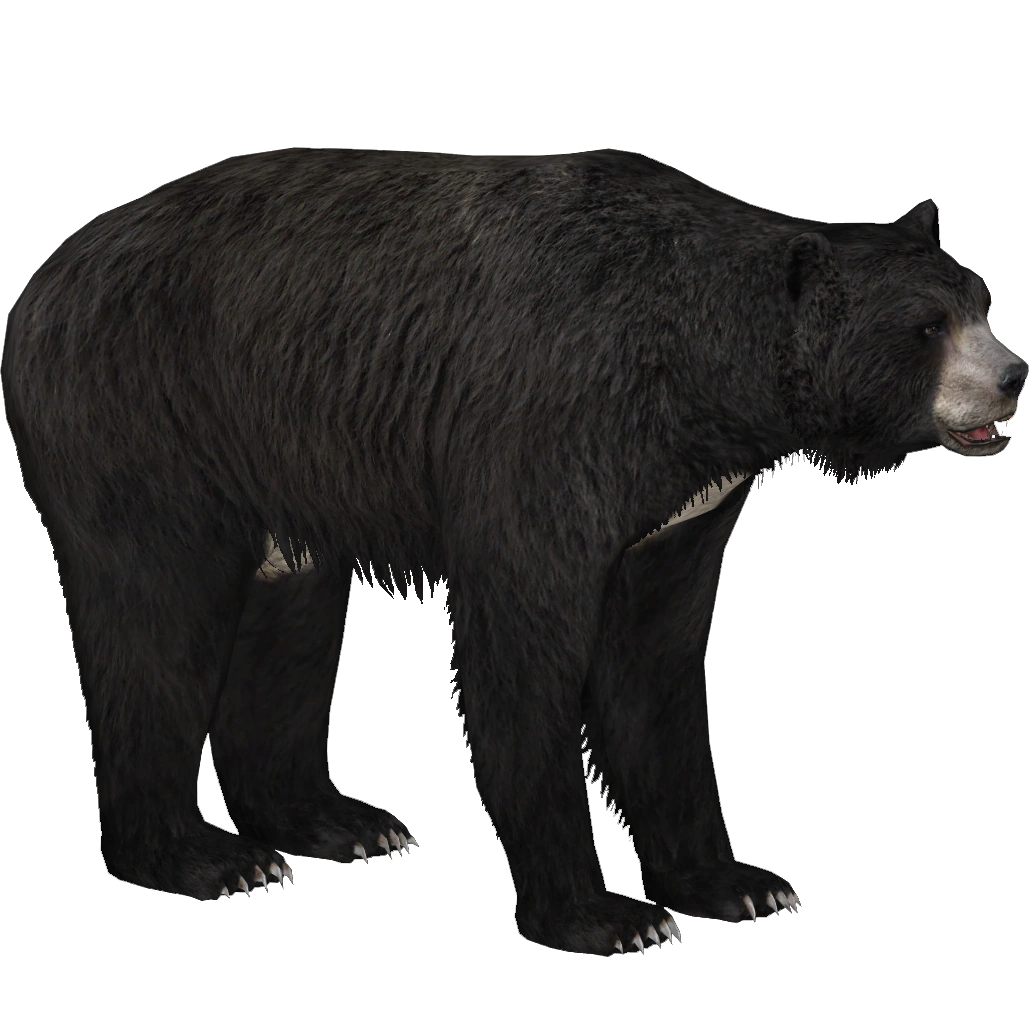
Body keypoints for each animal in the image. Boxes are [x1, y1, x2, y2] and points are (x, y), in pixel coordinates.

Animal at [2, 147, 1021, 957]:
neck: (696, 375)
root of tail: (47, 273)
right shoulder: (548, 426)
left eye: (982, 300)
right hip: (144, 416)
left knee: (291, 607)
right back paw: (207, 859)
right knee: (151, 616)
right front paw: (610, 918)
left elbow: (658, 669)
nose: (1012, 376)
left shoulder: (681, 505)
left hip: (280, 457)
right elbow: (525, 651)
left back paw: (339, 823)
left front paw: (739, 882)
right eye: (923, 326)